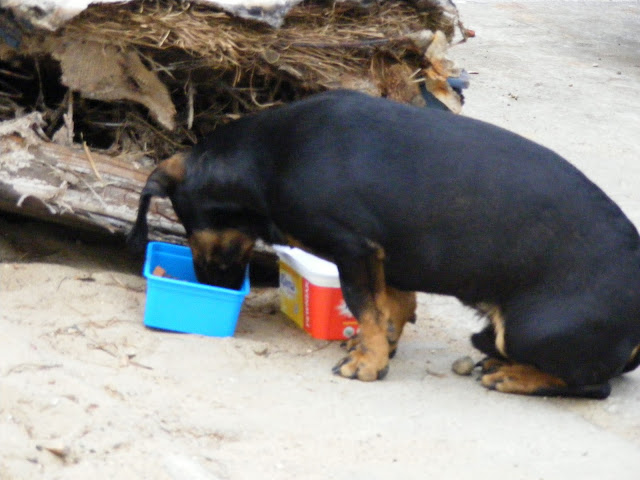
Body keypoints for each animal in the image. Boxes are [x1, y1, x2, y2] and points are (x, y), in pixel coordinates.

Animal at [129, 90, 640, 398]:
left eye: (185, 222)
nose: (211, 283)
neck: (271, 157)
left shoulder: (353, 248)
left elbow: (365, 306)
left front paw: (367, 364)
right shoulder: (386, 257)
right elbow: (389, 306)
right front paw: (378, 348)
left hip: (531, 328)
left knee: (592, 385)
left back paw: (513, 375)